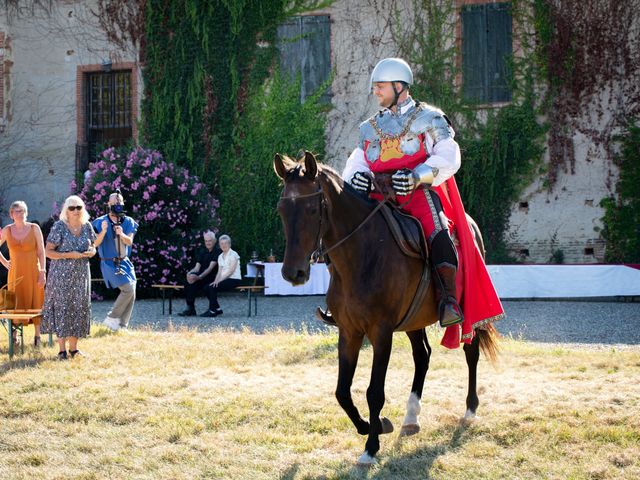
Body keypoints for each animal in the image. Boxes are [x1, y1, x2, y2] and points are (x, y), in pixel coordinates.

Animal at [272, 151, 498, 464]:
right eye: (282, 209)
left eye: (311, 209)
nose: (293, 273)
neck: (362, 254)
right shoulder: (349, 331)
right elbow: (342, 392)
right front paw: (373, 425)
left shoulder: (381, 333)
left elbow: (374, 392)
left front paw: (371, 446)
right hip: (414, 319)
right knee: (422, 355)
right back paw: (411, 417)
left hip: (467, 314)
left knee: (470, 351)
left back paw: (470, 408)